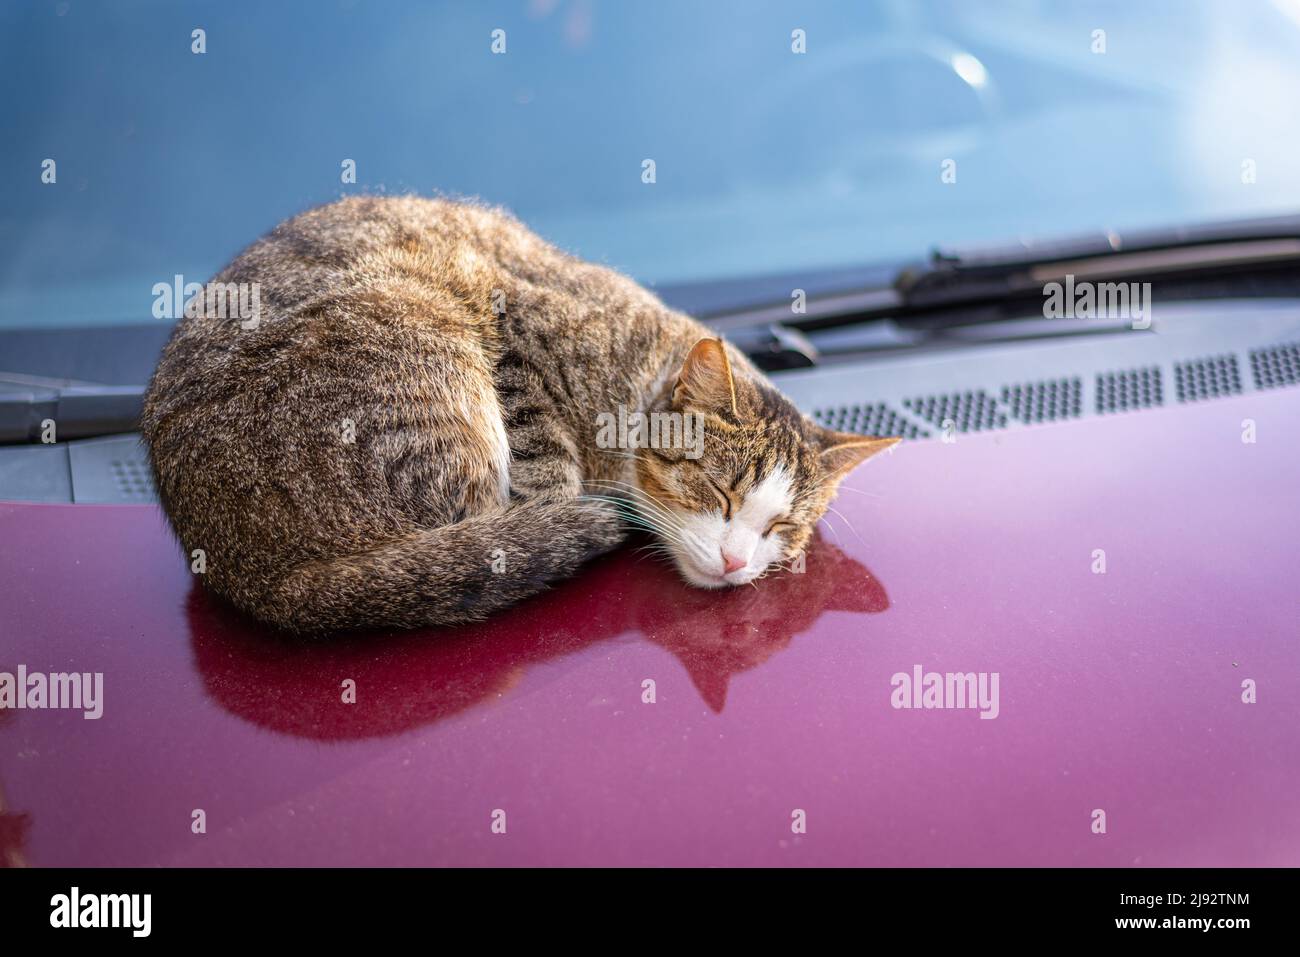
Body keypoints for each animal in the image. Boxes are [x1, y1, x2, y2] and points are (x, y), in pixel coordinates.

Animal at [139, 195, 894, 631]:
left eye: (782, 529)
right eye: (718, 492)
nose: (738, 563)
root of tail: (253, 571)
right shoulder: (519, 332)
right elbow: (544, 464)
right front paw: (558, 508)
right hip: (423, 348)